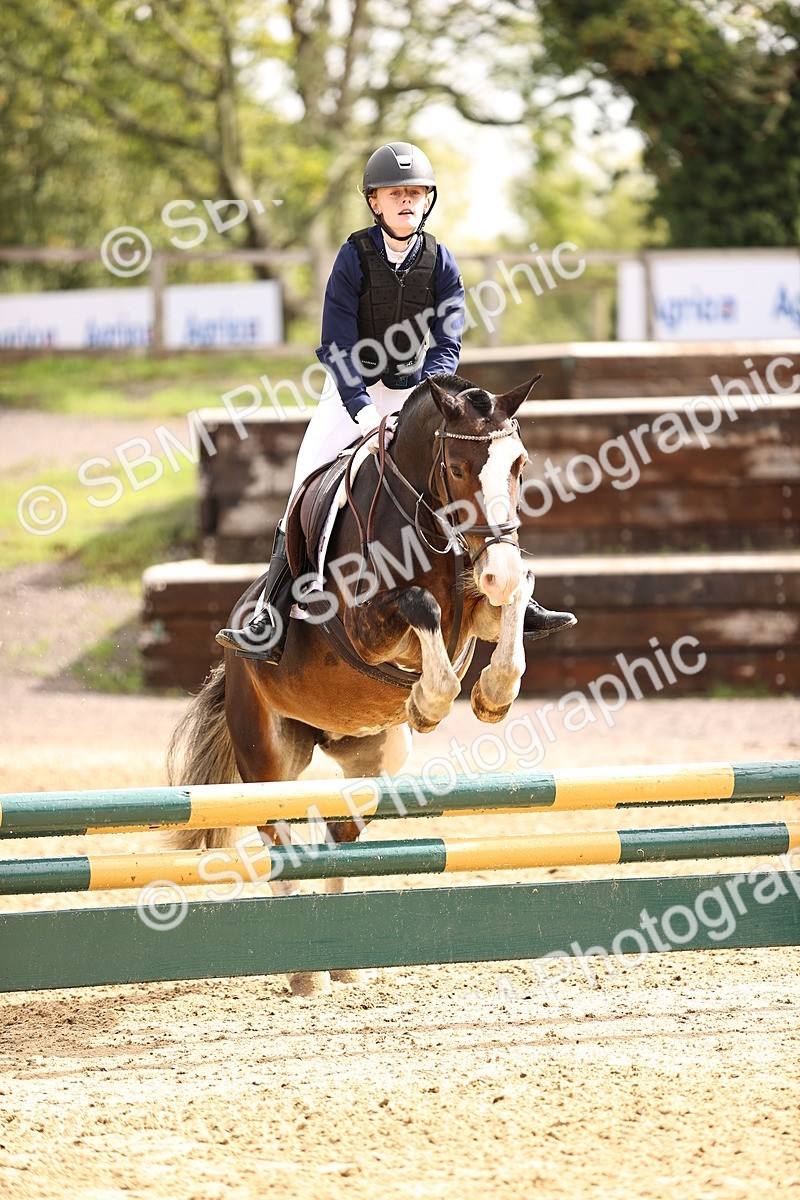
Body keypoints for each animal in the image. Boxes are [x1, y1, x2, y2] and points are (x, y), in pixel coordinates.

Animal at [167, 372, 539, 994]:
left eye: (519, 464)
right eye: (457, 467)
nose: (497, 567)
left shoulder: (479, 603)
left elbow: (511, 599)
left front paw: (492, 694)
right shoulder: (367, 628)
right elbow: (420, 606)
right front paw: (429, 703)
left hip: (373, 761)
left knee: (338, 834)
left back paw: (340, 960)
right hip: (267, 756)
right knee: (278, 836)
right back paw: (303, 975)